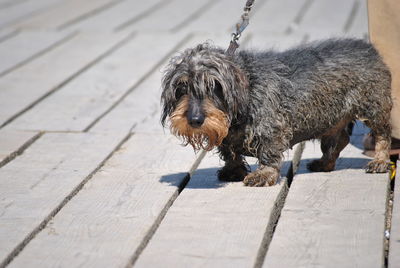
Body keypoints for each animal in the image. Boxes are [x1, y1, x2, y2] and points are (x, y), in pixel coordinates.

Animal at [161, 38, 392, 186]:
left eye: (215, 86)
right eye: (181, 87)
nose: (195, 119)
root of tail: (369, 49)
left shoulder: (271, 130)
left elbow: (268, 153)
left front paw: (263, 174)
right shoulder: (226, 137)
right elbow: (229, 152)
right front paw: (233, 171)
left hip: (374, 107)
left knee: (383, 135)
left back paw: (380, 161)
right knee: (339, 139)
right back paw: (324, 162)